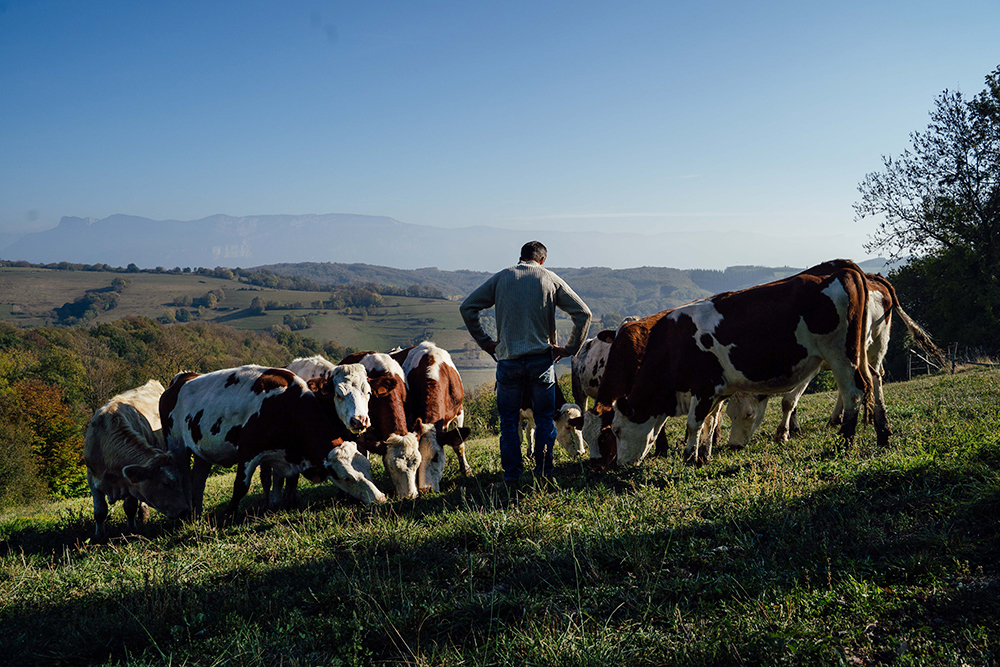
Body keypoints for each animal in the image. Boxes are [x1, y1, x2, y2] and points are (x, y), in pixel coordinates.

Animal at [84, 380, 189, 544]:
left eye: (180, 480)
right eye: (166, 483)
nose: (185, 511)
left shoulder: (129, 483)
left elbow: (130, 507)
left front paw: (132, 530)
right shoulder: (92, 479)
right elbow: (100, 512)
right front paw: (99, 536)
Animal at [162, 366, 384, 516]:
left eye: (368, 469)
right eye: (346, 478)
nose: (380, 498)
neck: (284, 406)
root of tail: (183, 377)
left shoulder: (290, 456)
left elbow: (289, 481)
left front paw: (287, 504)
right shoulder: (248, 451)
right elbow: (240, 486)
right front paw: (228, 515)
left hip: (202, 454)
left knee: (198, 482)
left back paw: (197, 514)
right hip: (176, 446)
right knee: (185, 479)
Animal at [390, 342, 472, 494]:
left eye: (436, 457)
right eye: (418, 459)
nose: (425, 490)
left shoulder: (459, 411)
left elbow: (459, 444)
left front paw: (467, 471)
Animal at [608, 258, 876, 468]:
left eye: (617, 430)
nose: (620, 464)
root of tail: (840, 267)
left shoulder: (704, 386)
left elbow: (694, 424)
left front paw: (689, 457)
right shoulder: (717, 390)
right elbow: (711, 421)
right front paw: (703, 456)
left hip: (841, 354)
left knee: (853, 392)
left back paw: (845, 442)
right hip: (855, 355)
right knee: (869, 383)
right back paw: (881, 433)